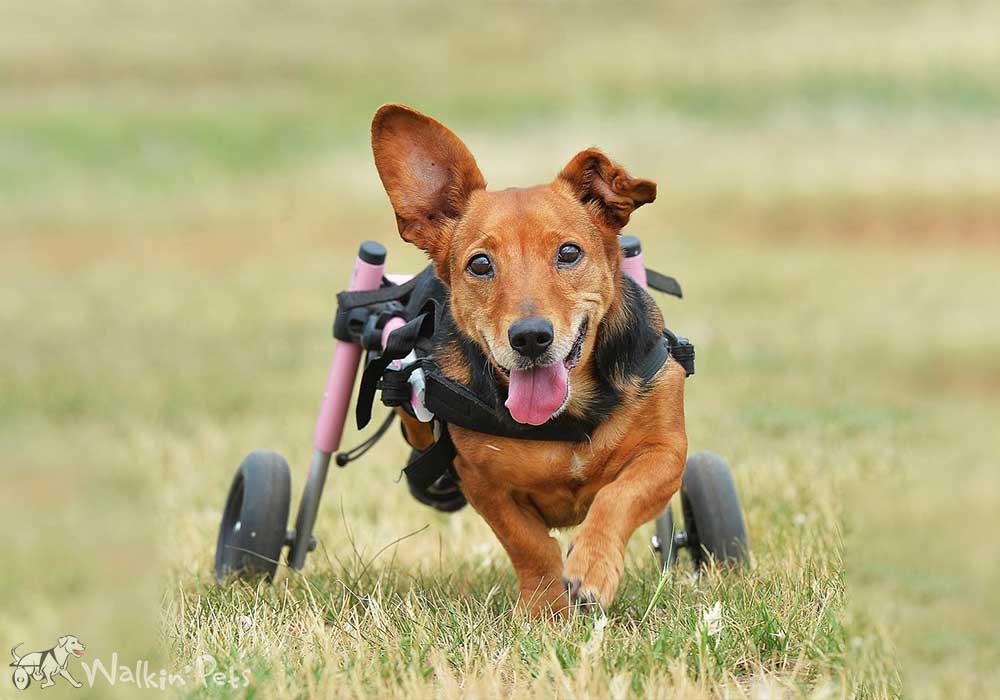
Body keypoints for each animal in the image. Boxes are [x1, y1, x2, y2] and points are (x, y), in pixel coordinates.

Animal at [370, 101, 688, 616]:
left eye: (569, 252)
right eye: (480, 264)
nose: (531, 338)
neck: (567, 416)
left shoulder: (666, 454)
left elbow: (617, 497)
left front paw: (592, 569)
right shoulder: (484, 485)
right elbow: (529, 544)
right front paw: (546, 609)